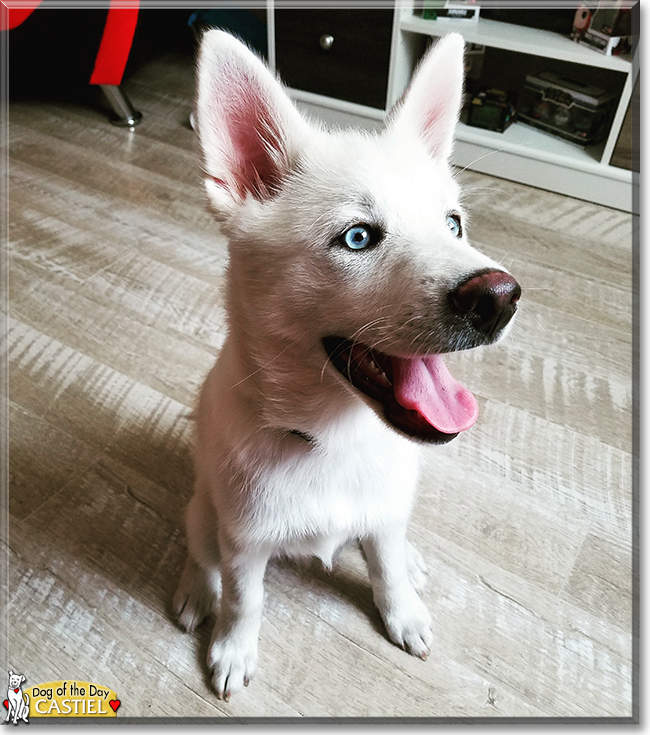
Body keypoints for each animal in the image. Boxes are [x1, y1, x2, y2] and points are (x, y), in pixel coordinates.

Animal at [172, 30, 516, 700]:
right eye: (357, 237)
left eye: (454, 224)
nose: (499, 297)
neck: (332, 438)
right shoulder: (245, 542)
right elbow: (245, 601)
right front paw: (233, 649)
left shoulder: (380, 520)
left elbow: (386, 568)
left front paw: (402, 610)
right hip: (205, 511)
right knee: (202, 551)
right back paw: (196, 592)